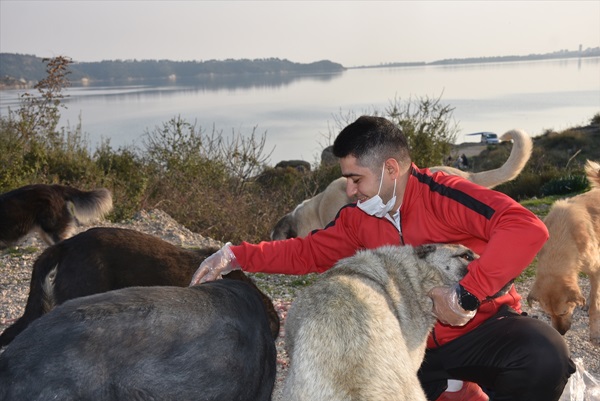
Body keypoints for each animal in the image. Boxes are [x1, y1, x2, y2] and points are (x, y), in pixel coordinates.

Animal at [528, 159, 600, 344]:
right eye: (548, 314)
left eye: (564, 312)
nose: (560, 333)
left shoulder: (596, 268)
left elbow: (595, 307)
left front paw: (595, 333)